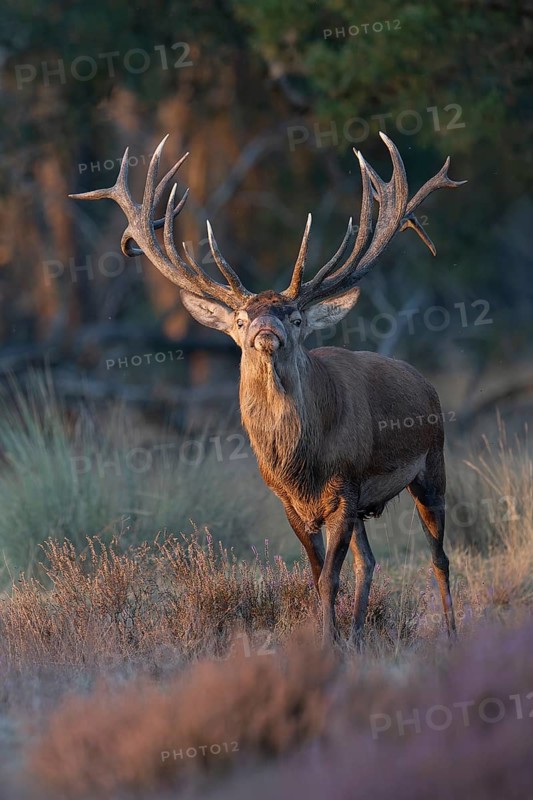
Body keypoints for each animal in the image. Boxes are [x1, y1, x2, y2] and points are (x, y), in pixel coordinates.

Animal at [70, 132, 465, 646]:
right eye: (240, 319)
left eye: (294, 317)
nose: (265, 329)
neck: (301, 465)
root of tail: (425, 383)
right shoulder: (290, 501)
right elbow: (318, 575)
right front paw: (332, 638)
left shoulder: (345, 488)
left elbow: (330, 578)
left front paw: (328, 644)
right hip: (370, 502)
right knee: (370, 563)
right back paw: (361, 634)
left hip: (432, 464)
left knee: (439, 558)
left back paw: (452, 635)